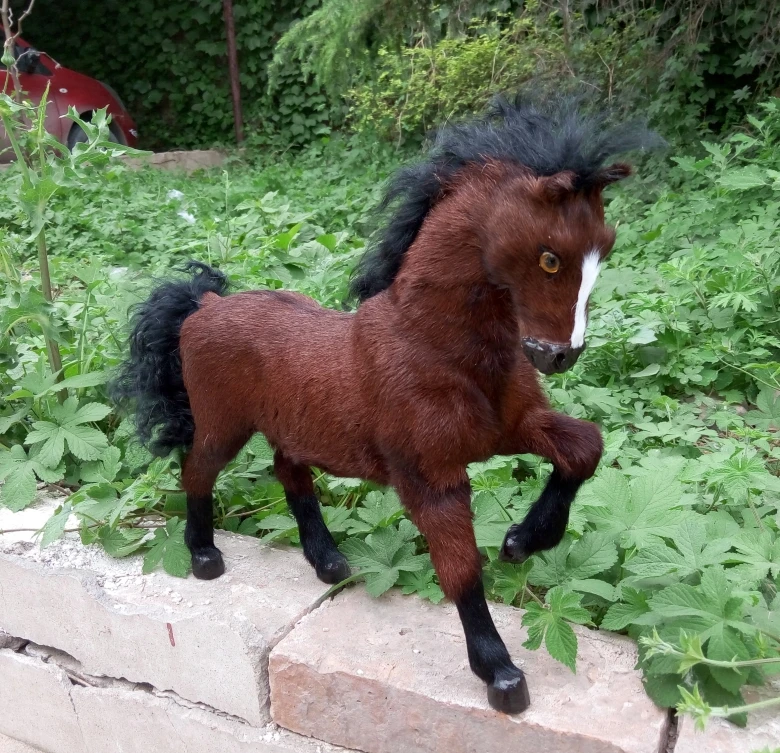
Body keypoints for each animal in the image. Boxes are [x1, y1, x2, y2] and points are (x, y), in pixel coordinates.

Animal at [112, 96, 661, 715]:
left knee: (288, 472)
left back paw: (328, 562)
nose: (560, 355)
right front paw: (499, 675)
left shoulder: (512, 428)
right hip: (222, 424)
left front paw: (523, 541)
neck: (433, 346)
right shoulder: (430, 477)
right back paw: (204, 556)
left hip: (292, 426)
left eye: (606, 247)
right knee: (197, 470)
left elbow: (585, 448)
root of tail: (204, 303)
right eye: (550, 258)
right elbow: (460, 569)